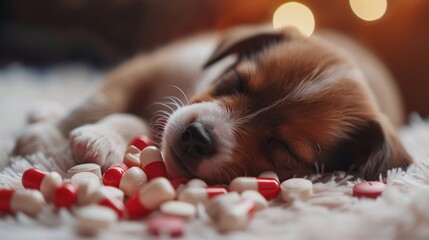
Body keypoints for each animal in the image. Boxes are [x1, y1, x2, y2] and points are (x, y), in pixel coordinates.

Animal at [11, 24, 410, 184]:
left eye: (282, 147)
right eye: (234, 81)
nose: (197, 137)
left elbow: (132, 120)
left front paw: (101, 140)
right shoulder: (153, 64)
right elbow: (98, 100)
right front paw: (46, 138)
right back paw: (44, 112)